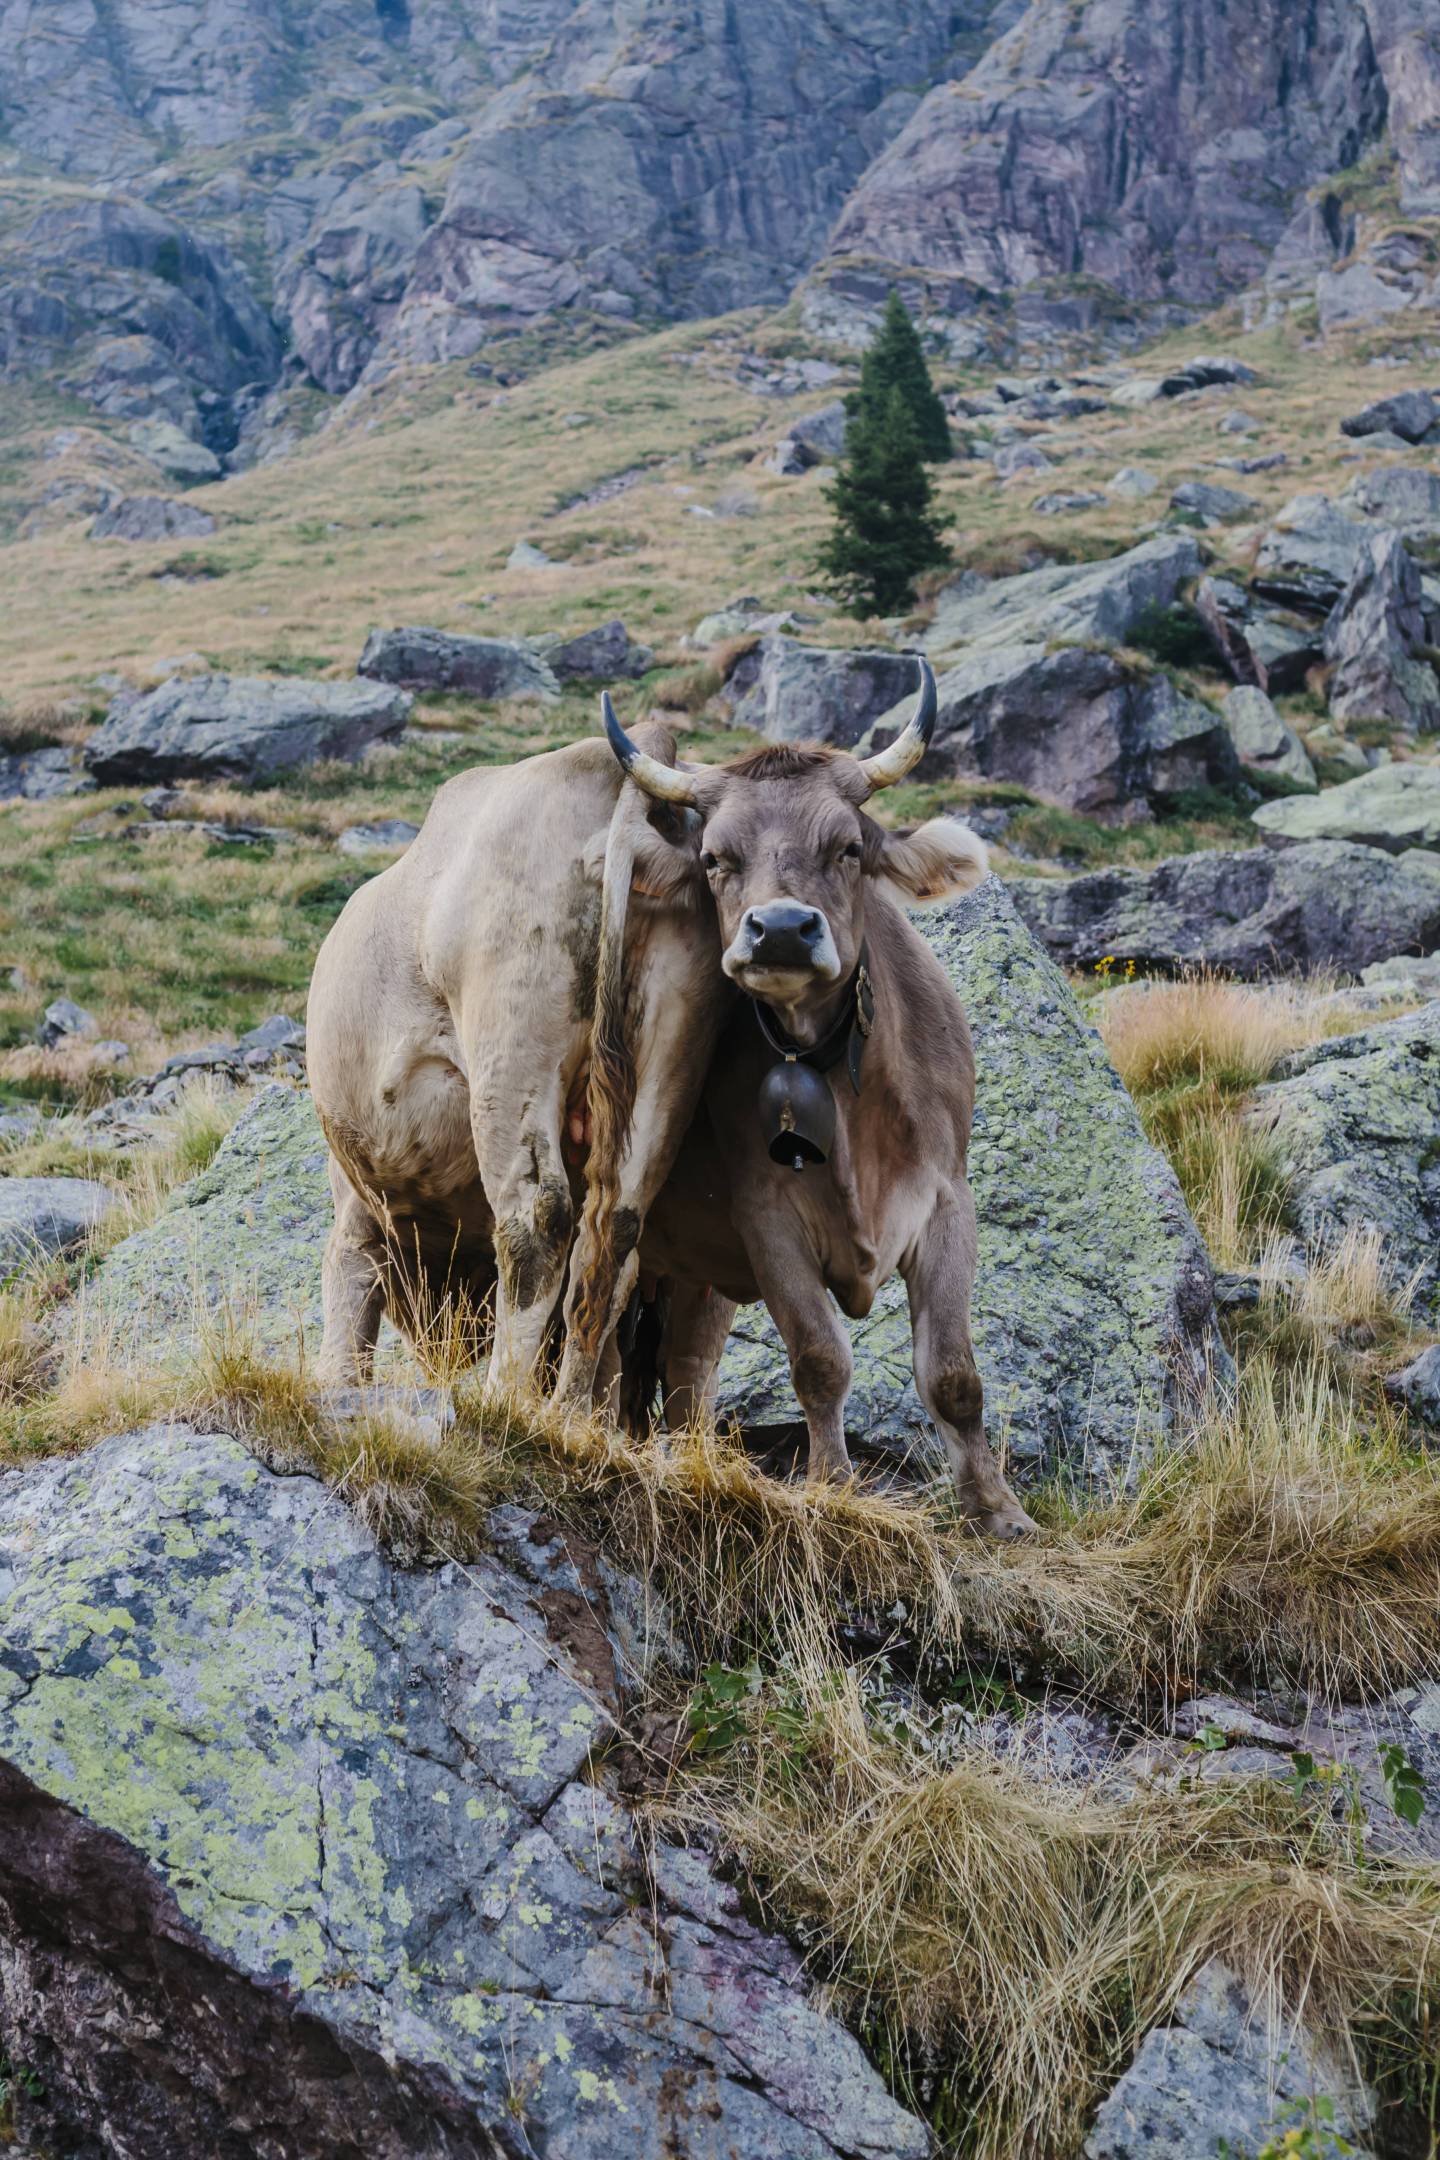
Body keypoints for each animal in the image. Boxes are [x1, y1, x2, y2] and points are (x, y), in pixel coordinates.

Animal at [600, 665, 1036, 1546]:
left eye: (849, 847)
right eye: (715, 856)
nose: (780, 931)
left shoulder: (947, 1201)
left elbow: (953, 1373)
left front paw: (997, 1510)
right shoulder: (766, 1216)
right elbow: (820, 1359)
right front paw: (835, 1488)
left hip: (692, 1274)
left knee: (683, 1372)